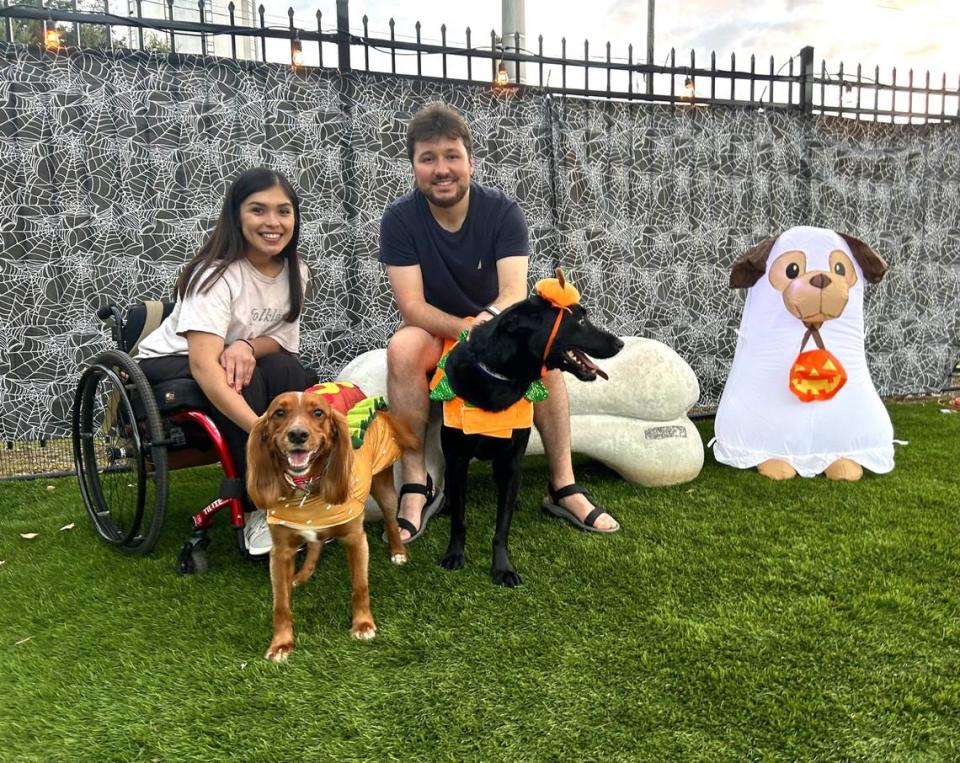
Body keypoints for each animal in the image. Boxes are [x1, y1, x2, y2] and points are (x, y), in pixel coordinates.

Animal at [436, 272, 624, 588]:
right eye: (580, 321)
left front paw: (503, 567)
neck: (500, 378)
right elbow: (459, 519)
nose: (620, 343)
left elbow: (502, 527)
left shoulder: (512, 461)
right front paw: (454, 554)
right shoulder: (458, 458)